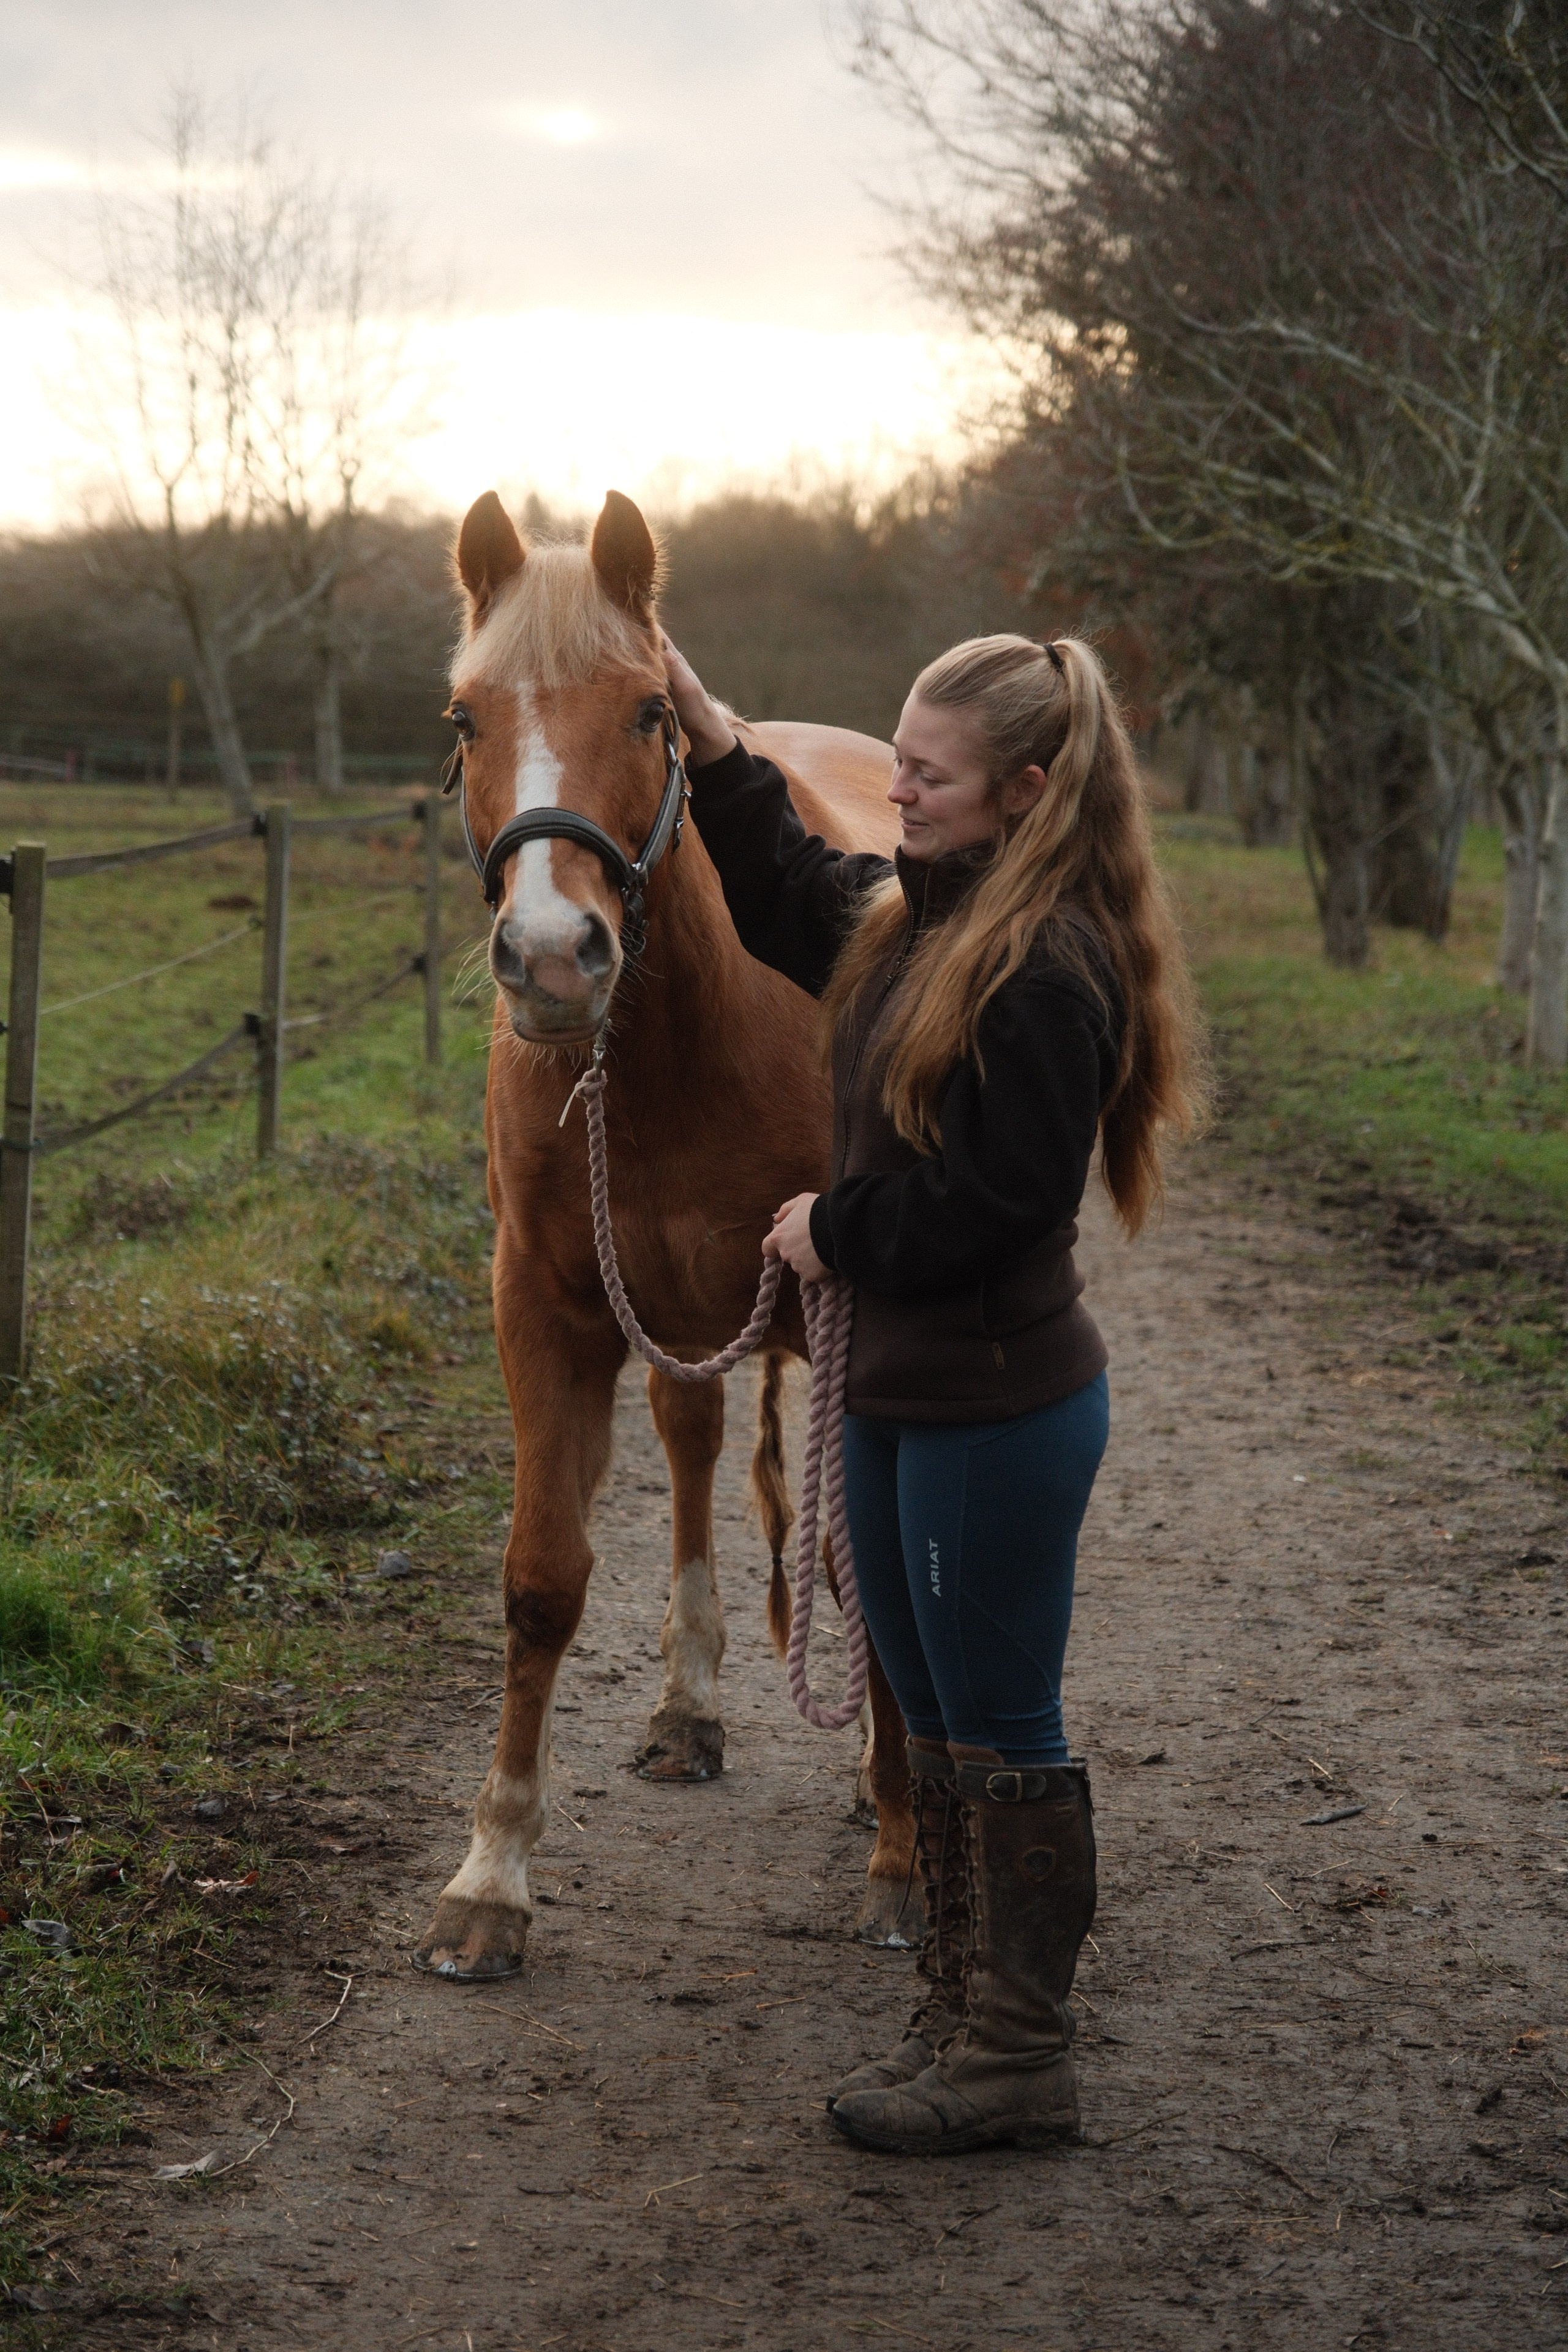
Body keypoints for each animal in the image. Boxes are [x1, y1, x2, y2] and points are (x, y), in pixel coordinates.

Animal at [414, 487, 920, 1981]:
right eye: (465, 719)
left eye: (648, 711)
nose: (552, 959)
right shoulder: (546, 1307)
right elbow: (540, 1581)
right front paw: (492, 1877)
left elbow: (864, 1570)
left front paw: (899, 1856)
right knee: (696, 1452)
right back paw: (687, 1707)